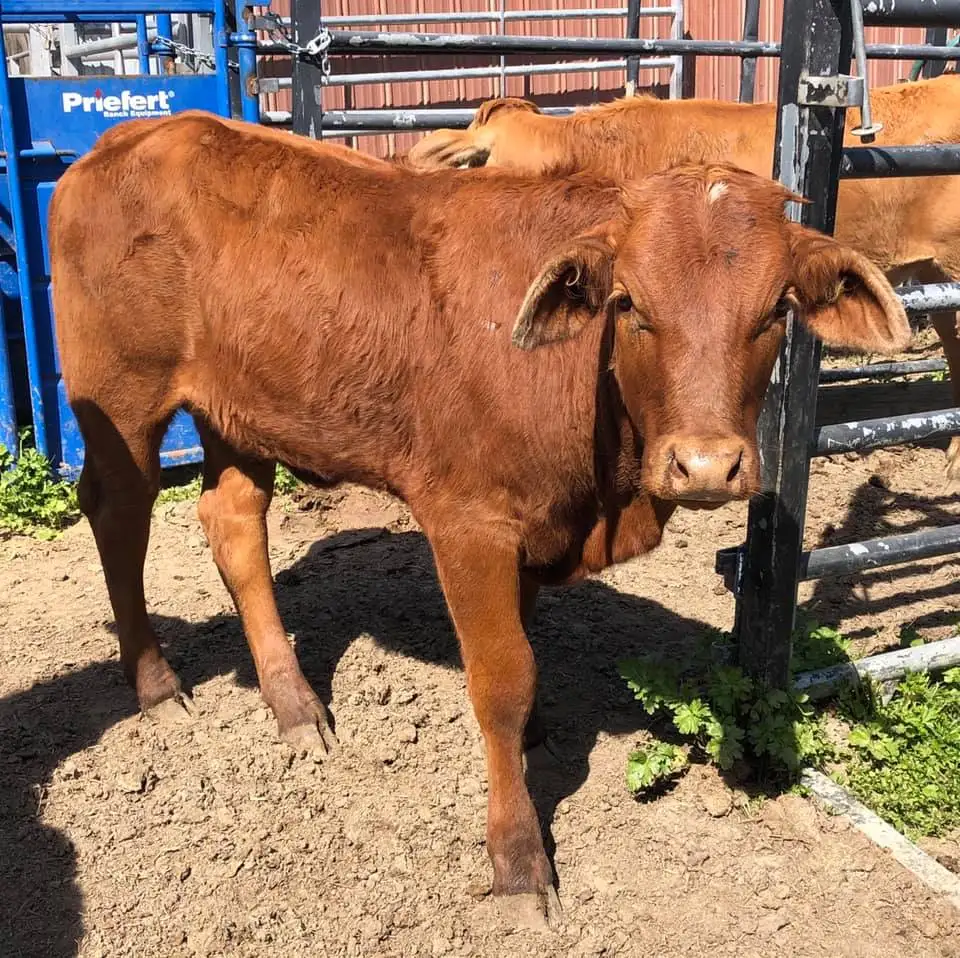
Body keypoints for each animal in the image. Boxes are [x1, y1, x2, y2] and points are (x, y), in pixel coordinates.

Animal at [49, 111, 909, 929]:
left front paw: (531, 750)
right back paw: (156, 684)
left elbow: (526, 661)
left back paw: (292, 703)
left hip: (243, 410)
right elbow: (503, 680)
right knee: (120, 518)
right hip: (121, 399)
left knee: (233, 523)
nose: (705, 464)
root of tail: (136, 136)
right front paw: (518, 856)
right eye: (630, 303)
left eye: (776, 310)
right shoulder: (470, 525)